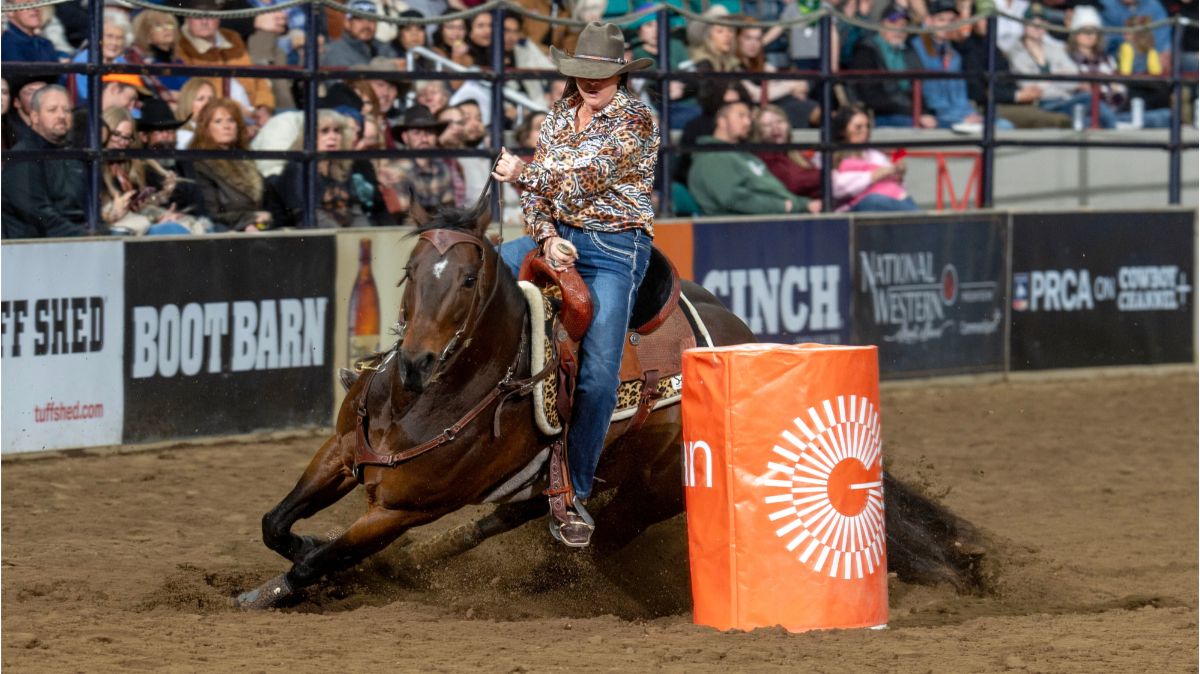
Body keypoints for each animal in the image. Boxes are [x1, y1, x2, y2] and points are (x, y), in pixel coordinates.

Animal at [236, 191, 993, 606]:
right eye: (413, 271)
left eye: (470, 281)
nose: (417, 362)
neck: (429, 404)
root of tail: (739, 337)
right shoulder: (342, 450)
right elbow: (277, 525)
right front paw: (293, 556)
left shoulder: (404, 508)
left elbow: (320, 557)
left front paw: (289, 584)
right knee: (513, 521)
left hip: (645, 496)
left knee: (581, 554)